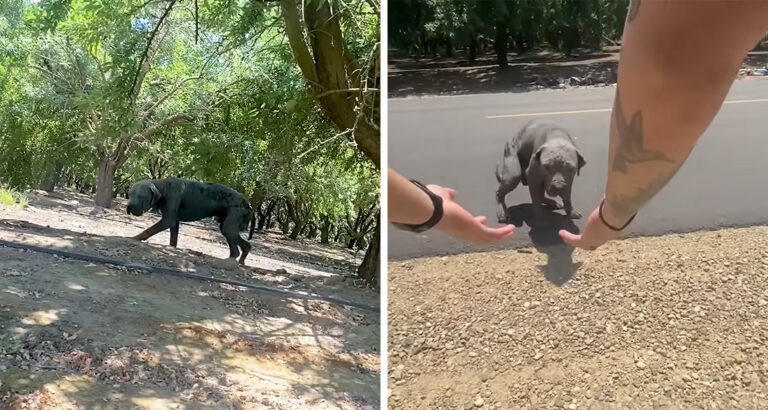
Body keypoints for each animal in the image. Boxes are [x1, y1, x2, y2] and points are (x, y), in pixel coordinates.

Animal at [127, 178, 256, 264]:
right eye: (130, 194)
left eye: (140, 196)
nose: (129, 207)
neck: (164, 188)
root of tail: (248, 204)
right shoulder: (175, 222)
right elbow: (173, 238)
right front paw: (172, 249)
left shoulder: (168, 219)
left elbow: (148, 230)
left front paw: (134, 238)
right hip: (226, 226)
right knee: (246, 245)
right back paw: (241, 262)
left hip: (229, 225)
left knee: (235, 250)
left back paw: (229, 261)